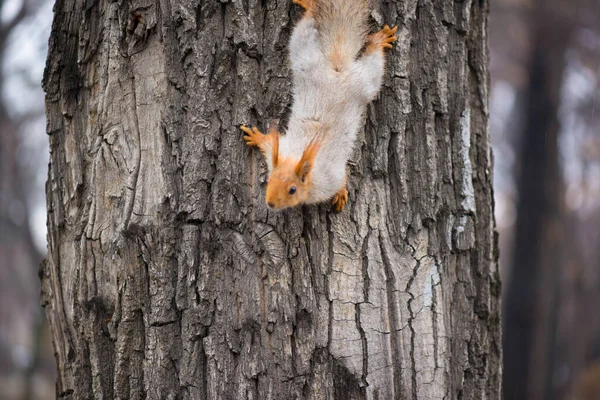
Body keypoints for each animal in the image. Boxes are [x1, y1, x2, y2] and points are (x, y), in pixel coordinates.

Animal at [241, 0, 396, 212]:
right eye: (270, 179)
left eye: (292, 190)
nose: (270, 203)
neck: (299, 160)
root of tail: (336, 69)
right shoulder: (280, 149)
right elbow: (267, 143)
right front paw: (256, 137)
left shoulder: (329, 179)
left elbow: (341, 178)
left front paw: (341, 193)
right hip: (307, 59)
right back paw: (310, 6)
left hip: (364, 82)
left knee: (373, 63)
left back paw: (379, 40)